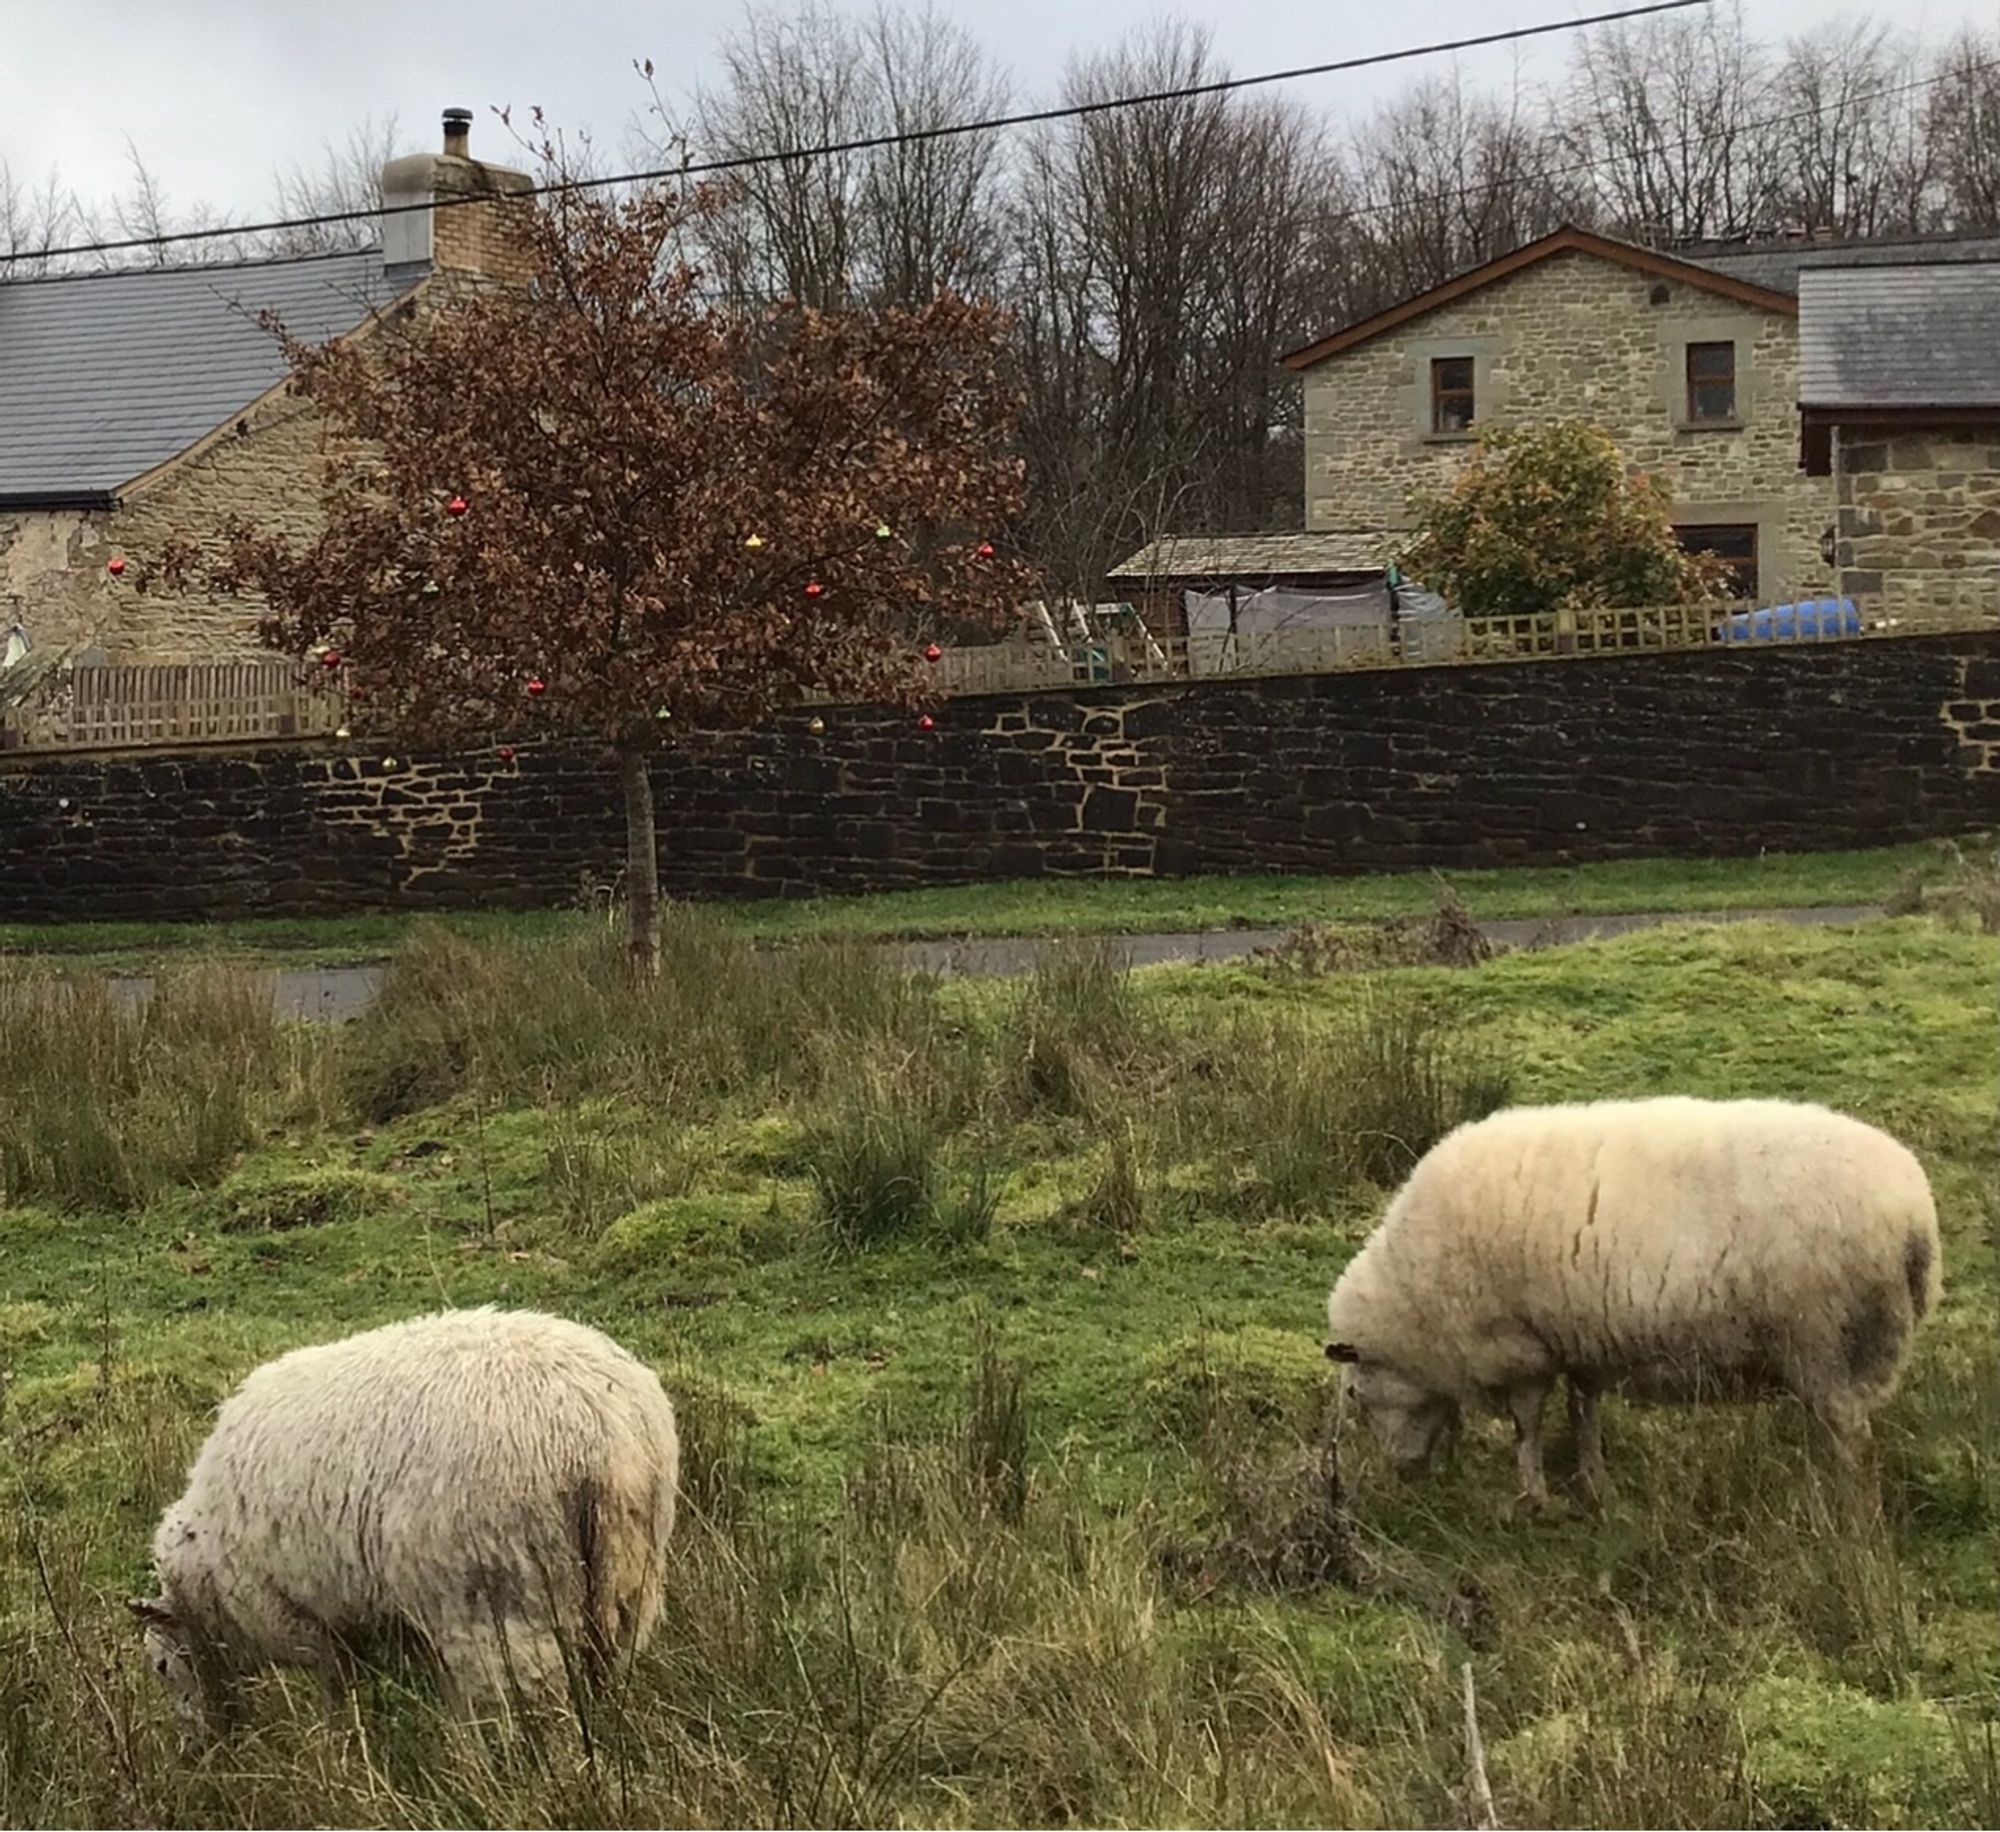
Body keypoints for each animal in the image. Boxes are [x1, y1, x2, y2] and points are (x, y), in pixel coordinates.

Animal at [135, 1304, 680, 1728]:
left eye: (161, 1667)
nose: (198, 1748)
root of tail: (605, 1436)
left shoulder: (302, 1621)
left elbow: (338, 1695)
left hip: (504, 1599)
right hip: (629, 1583)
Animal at [1328, 1104, 1936, 1504]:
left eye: (1357, 1395)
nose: (1402, 1474)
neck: (1414, 1297)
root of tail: (1916, 1217)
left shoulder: (1518, 1346)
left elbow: (1529, 1424)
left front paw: (1532, 1497)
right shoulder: (1580, 1337)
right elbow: (1584, 1411)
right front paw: (1594, 1484)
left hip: (1826, 1340)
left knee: (1858, 1448)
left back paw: (1856, 1524)